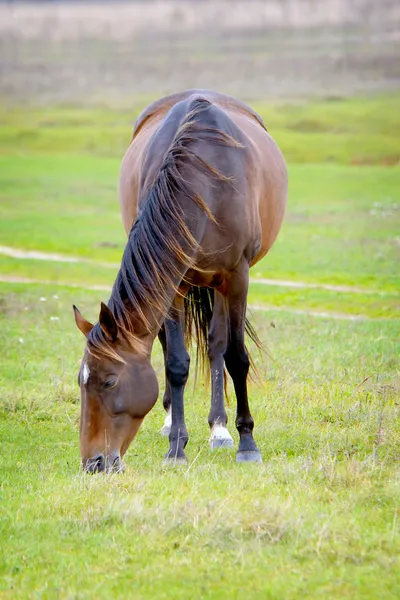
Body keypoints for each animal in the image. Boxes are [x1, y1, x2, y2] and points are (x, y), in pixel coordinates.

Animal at [73, 89, 286, 474]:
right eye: (81, 383)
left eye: (109, 381)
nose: (94, 463)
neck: (207, 183)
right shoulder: (172, 284)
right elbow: (176, 363)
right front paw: (176, 447)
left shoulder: (237, 277)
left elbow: (236, 357)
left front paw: (247, 443)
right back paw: (175, 421)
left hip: (220, 285)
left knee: (217, 345)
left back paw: (220, 429)